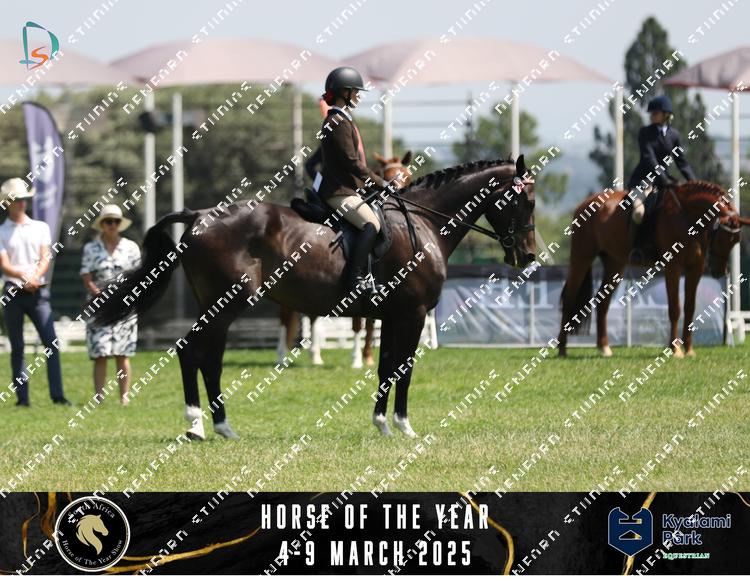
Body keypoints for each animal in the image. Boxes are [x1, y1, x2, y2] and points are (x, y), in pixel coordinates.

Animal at [276, 150, 414, 368]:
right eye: (388, 176)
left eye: (407, 177)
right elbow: (358, 323)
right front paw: (357, 358)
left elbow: (371, 322)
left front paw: (368, 356)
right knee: (285, 315)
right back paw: (281, 356)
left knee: (311, 314)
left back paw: (315, 356)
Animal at [558, 181, 748, 358]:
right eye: (721, 237)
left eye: (736, 240)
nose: (719, 271)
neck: (687, 216)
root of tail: (585, 203)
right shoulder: (673, 267)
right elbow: (675, 309)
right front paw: (675, 350)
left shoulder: (696, 269)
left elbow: (690, 308)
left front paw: (689, 350)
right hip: (581, 258)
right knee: (569, 299)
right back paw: (562, 349)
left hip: (615, 264)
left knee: (602, 303)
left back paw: (604, 348)